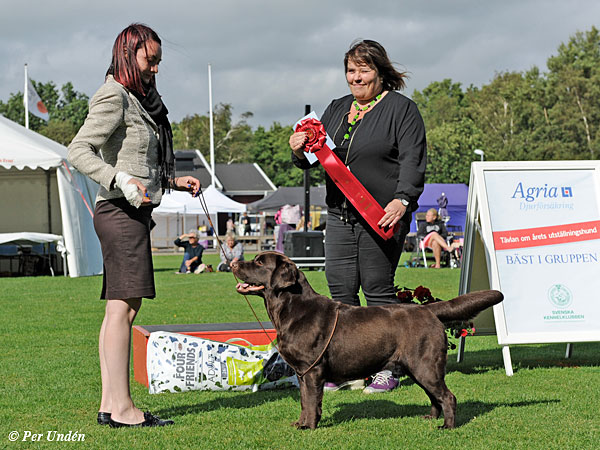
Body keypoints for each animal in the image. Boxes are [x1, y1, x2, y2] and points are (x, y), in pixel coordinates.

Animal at [232, 251, 504, 430]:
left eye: (259, 262)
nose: (233, 262)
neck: (291, 307)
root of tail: (428, 310)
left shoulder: (312, 370)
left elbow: (310, 401)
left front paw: (308, 426)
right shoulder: (301, 373)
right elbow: (303, 401)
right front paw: (301, 422)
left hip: (425, 365)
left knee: (447, 396)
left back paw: (447, 426)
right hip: (417, 367)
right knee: (434, 396)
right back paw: (431, 418)